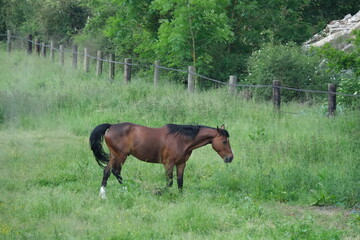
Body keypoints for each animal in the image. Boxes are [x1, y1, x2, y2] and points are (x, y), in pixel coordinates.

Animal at [90, 123, 233, 198]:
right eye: (224, 141)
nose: (230, 158)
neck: (182, 140)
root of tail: (110, 126)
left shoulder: (181, 163)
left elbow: (180, 182)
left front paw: (180, 196)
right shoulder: (168, 164)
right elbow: (169, 182)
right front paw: (159, 192)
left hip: (115, 156)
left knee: (108, 171)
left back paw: (106, 193)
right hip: (120, 156)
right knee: (114, 171)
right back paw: (123, 189)